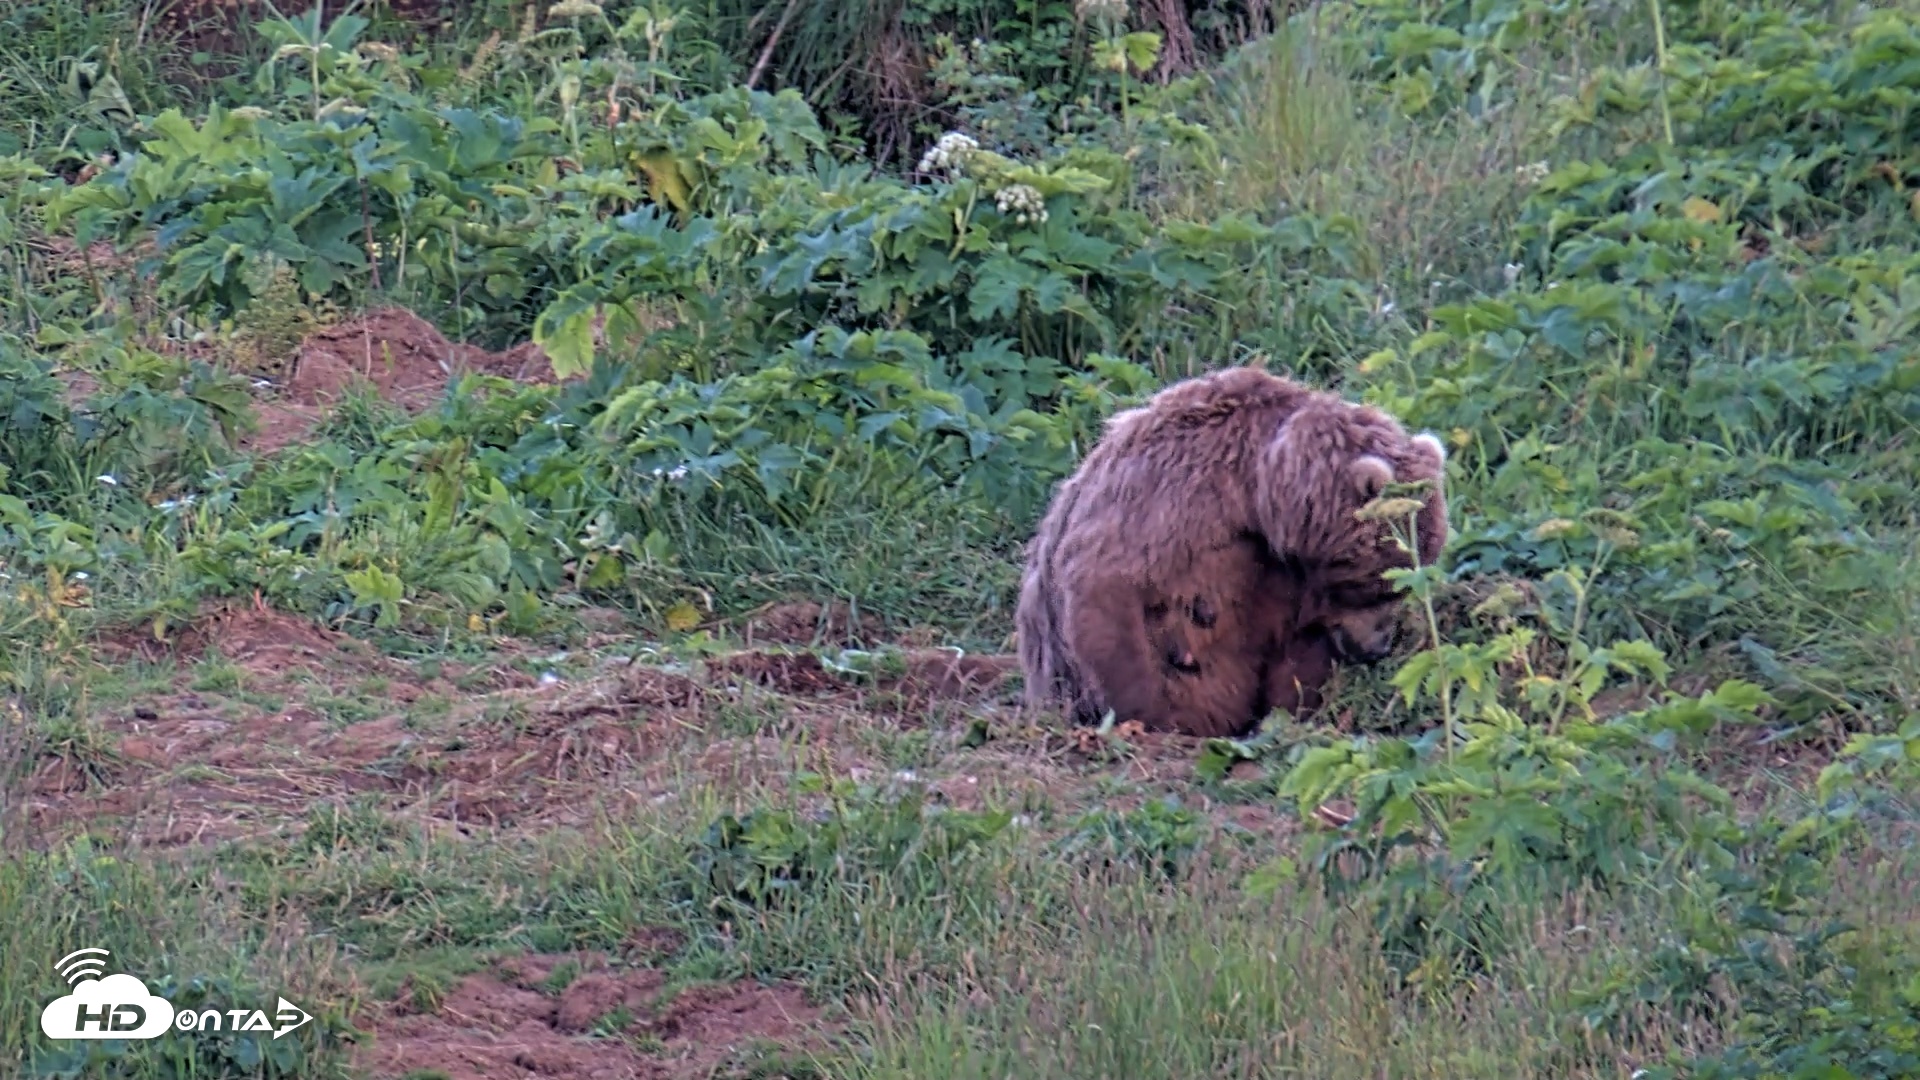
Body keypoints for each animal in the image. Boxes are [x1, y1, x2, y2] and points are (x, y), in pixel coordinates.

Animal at [1014, 365, 1448, 739]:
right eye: (1382, 582)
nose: (1379, 647)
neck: (1257, 487)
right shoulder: (1172, 501)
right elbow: (1108, 592)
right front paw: (1149, 717)